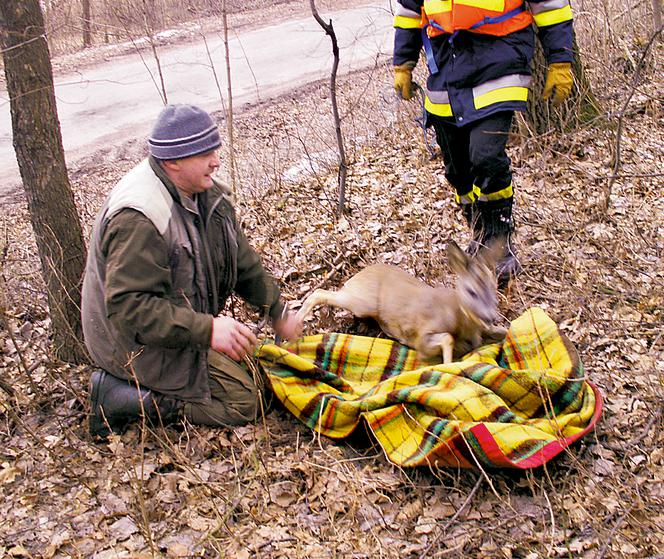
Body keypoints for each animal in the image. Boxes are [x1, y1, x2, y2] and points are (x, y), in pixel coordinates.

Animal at [296, 240, 508, 364]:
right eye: (471, 292)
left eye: (494, 287)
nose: (490, 316)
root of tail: (358, 274)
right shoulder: (423, 335)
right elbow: (447, 339)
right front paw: (448, 366)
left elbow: (505, 331)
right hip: (363, 302)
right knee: (319, 292)